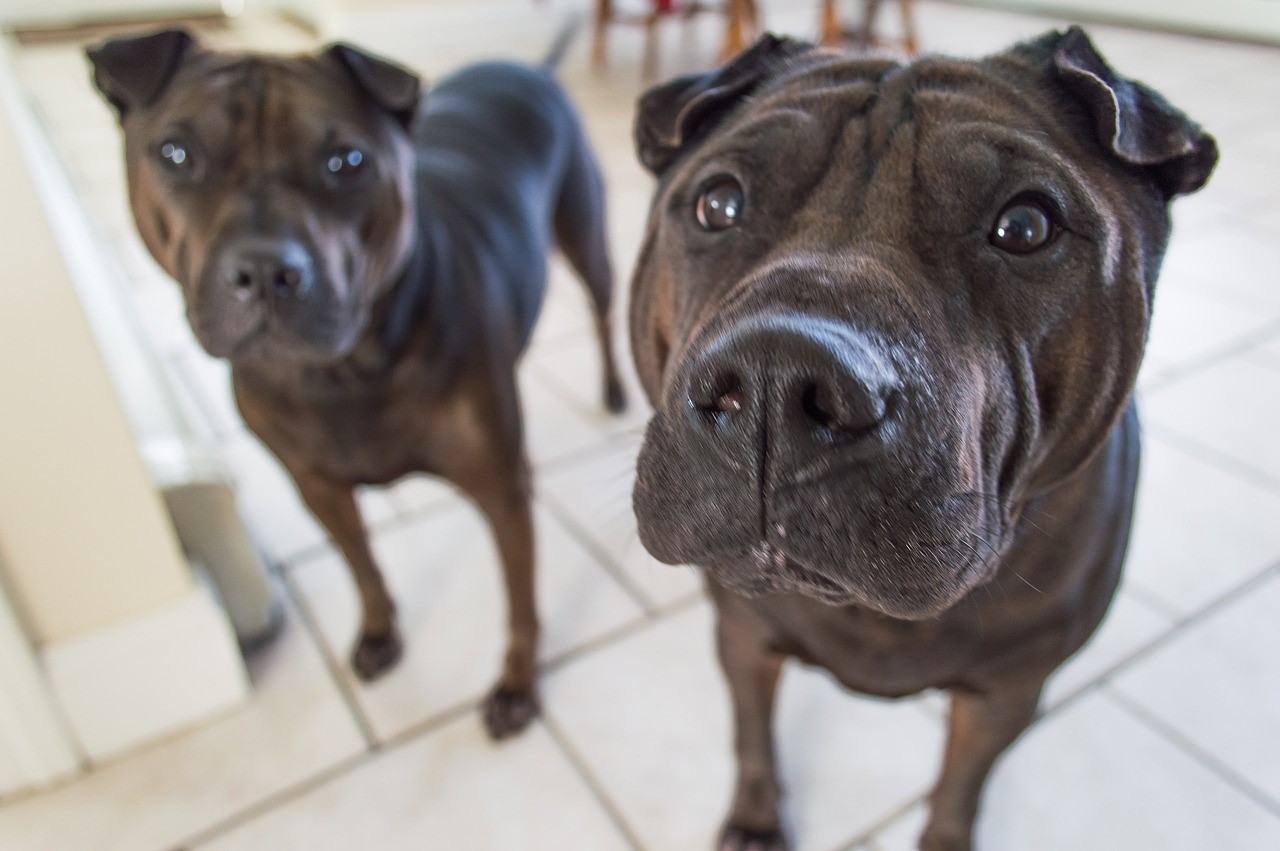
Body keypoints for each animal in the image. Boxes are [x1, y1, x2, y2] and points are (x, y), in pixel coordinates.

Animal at [87, 26, 627, 737]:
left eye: (347, 161)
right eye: (176, 153)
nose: (266, 271)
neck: (342, 373)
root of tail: (529, 70)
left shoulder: (501, 490)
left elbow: (521, 604)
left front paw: (517, 684)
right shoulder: (317, 488)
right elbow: (362, 567)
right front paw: (378, 633)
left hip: (586, 238)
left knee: (602, 312)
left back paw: (615, 390)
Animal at [629, 26, 1218, 849]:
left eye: (1027, 225)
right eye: (718, 203)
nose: (776, 380)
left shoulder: (1007, 691)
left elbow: (960, 785)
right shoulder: (744, 634)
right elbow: (751, 732)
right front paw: (754, 818)